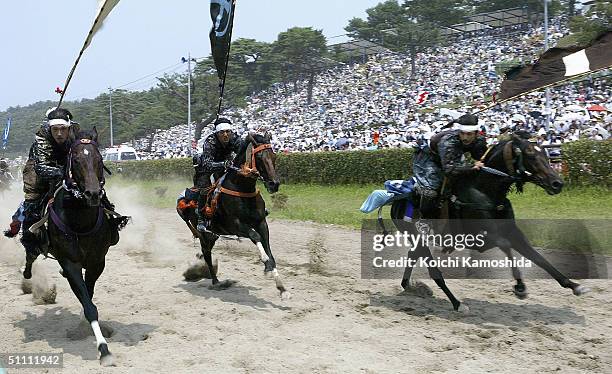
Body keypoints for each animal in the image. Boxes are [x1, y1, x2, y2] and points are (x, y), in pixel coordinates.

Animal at [30, 129, 122, 366]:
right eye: (77, 160)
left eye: (99, 159)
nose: (93, 194)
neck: (80, 222)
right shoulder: (70, 262)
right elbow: (88, 304)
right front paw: (104, 350)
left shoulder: (97, 262)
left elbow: (88, 294)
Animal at [178, 133, 290, 300]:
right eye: (259, 157)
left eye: (274, 156)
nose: (273, 184)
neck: (242, 188)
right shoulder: (236, 226)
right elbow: (255, 237)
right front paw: (266, 264)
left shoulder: (262, 223)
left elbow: (269, 250)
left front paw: (281, 288)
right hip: (204, 234)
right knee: (206, 254)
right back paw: (216, 281)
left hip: (213, 235)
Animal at [384, 133, 592, 312]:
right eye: (530, 154)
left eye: (546, 154)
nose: (557, 183)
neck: (485, 191)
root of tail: (396, 199)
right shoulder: (482, 238)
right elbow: (506, 246)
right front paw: (520, 287)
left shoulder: (513, 232)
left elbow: (538, 258)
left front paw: (574, 285)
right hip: (417, 235)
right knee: (434, 272)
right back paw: (457, 304)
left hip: (418, 240)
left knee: (412, 255)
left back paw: (410, 287)